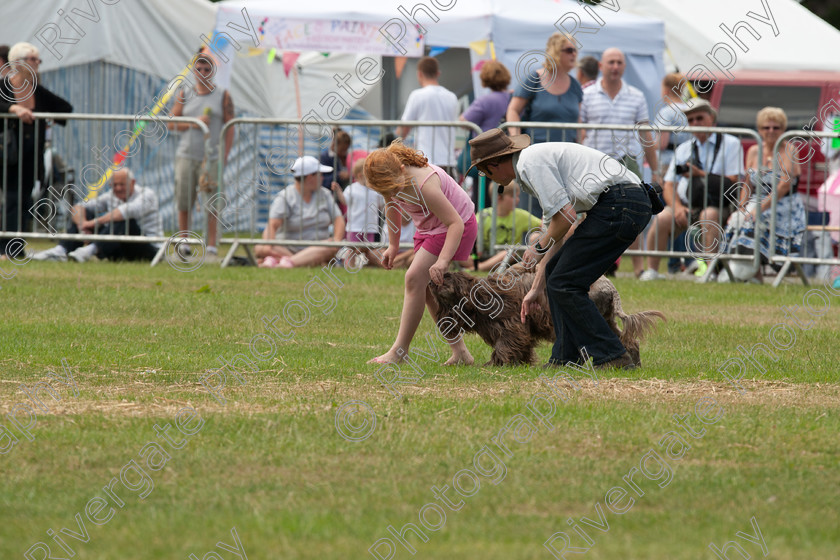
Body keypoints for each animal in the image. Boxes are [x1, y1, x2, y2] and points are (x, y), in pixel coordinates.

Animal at [430, 268, 668, 366]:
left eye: (446, 277)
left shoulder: (512, 324)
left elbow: (506, 343)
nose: (430, 281)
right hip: (607, 319)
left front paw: (496, 363)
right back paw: (634, 362)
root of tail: (610, 286)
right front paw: (521, 362)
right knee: (628, 340)